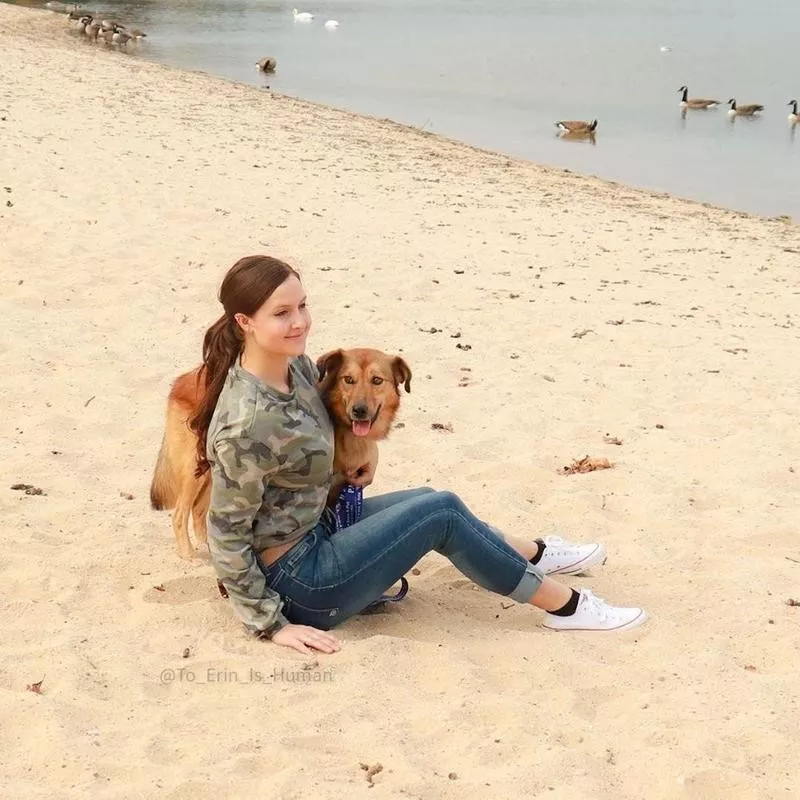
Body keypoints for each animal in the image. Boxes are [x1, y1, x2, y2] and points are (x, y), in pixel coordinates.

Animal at [151, 346, 412, 560]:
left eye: (377, 380)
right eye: (349, 380)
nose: (359, 410)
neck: (346, 431)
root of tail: (183, 380)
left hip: (217, 474)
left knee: (199, 512)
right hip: (197, 471)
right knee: (180, 514)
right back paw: (189, 555)